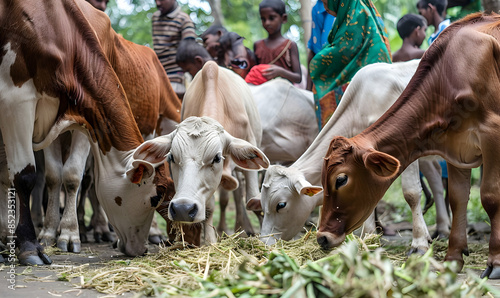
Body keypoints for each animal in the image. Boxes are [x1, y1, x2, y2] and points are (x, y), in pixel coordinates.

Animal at [248, 59, 448, 250]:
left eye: (281, 205)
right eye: (262, 207)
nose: (264, 243)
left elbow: (411, 193)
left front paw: (419, 242)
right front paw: (367, 239)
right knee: (436, 179)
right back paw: (442, 228)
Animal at [318, 12, 500, 280]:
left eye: (341, 179)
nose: (321, 237)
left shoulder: (491, 134)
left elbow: (490, 196)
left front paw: (495, 261)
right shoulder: (457, 146)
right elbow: (457, 198)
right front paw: (452, 259)